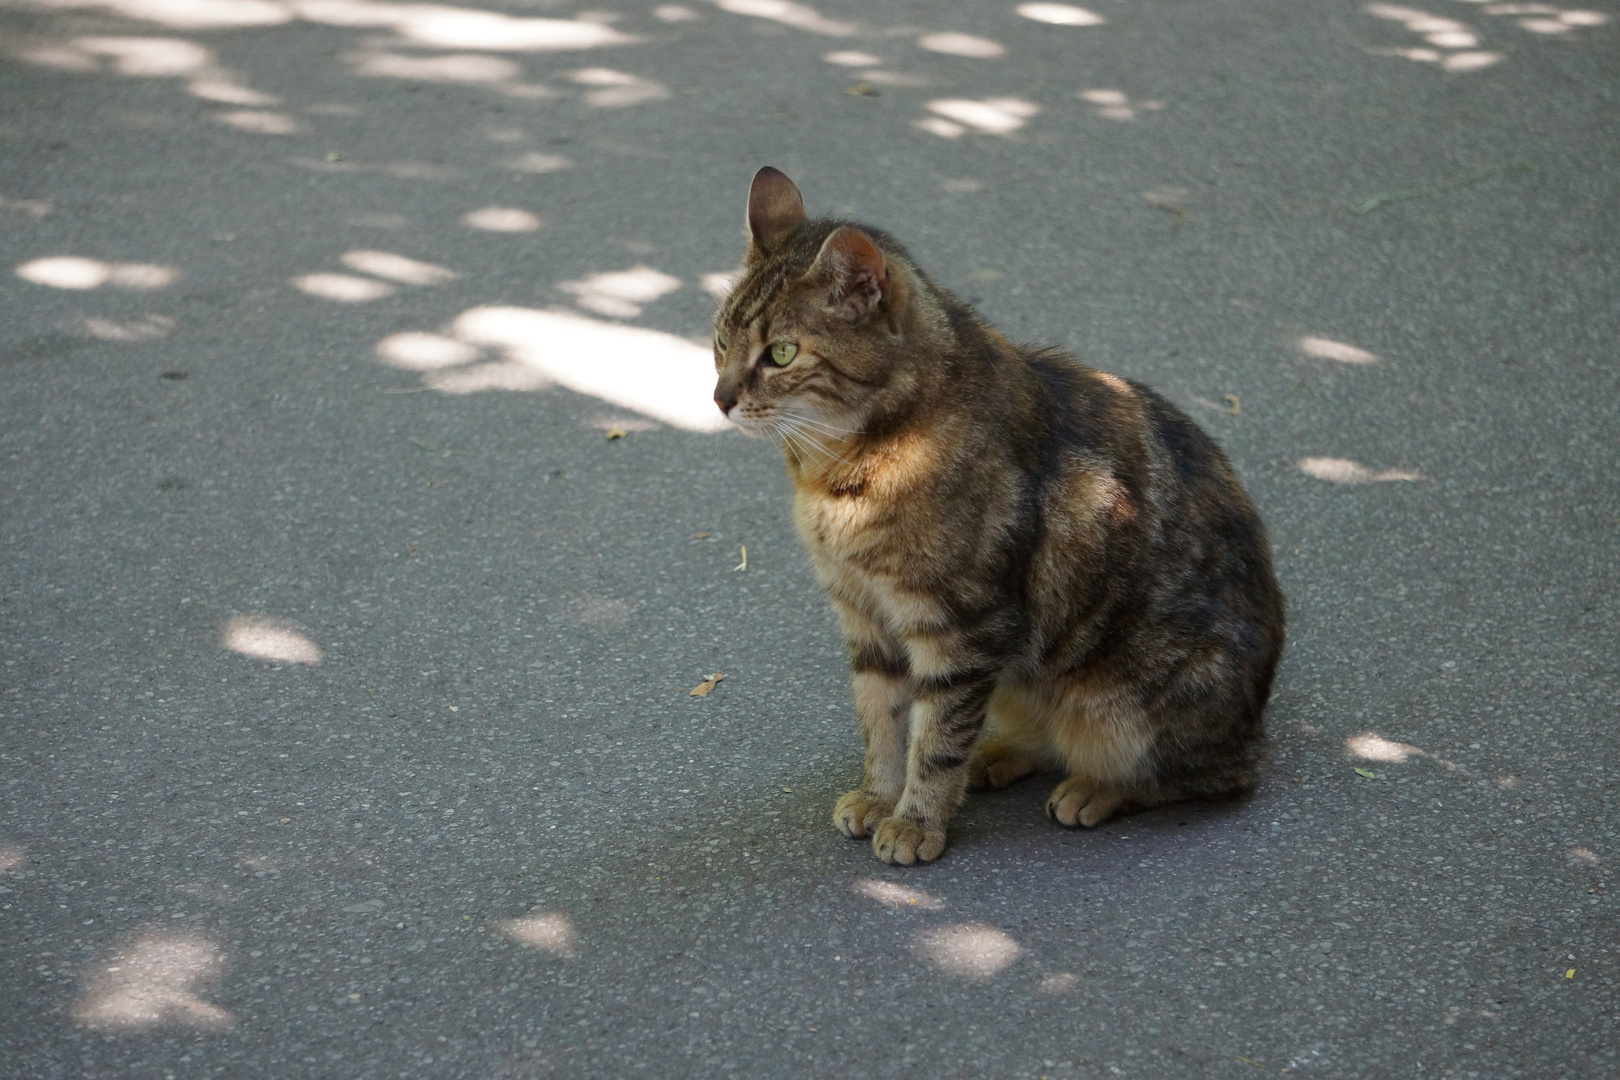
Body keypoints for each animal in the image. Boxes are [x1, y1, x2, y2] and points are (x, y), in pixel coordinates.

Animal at [716, 165, 1283, 867]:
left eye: (782, 353)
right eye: (721, 340)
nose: (719, 397)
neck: (837, 473)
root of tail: (1256, 722)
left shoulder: (960, 627)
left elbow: (935, 740)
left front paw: (916, 821)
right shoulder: (867, 618)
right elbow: (883, 723)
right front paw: (880, 795)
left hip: (1127, 706)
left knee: (1207, 775)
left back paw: (1096, 788)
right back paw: (1001, 756)